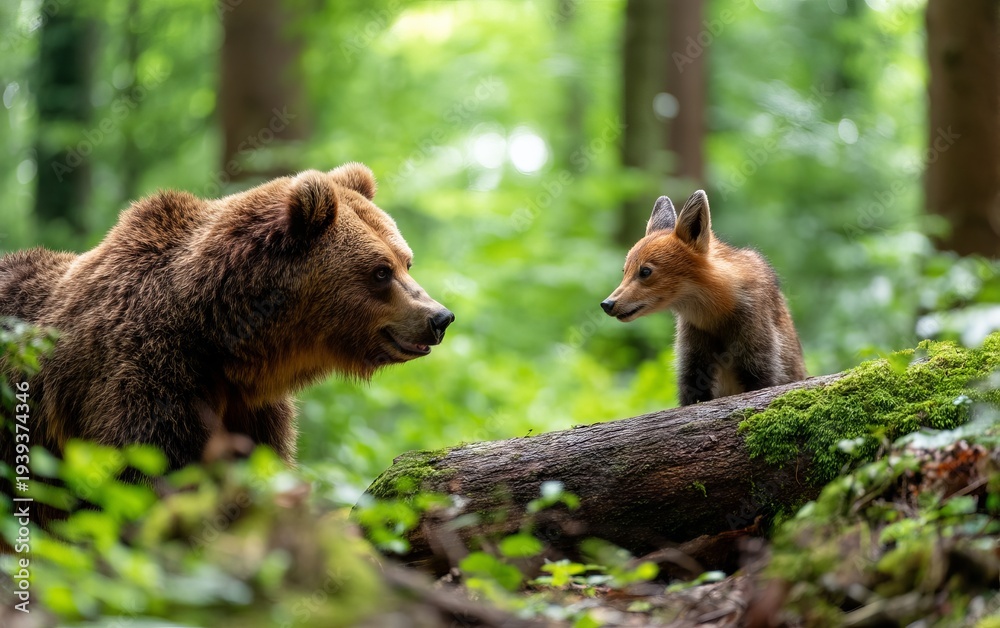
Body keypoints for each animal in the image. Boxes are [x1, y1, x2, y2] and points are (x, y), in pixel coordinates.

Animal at [601, 190, 806, 405]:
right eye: (624, 271)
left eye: (645, 271)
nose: (607, 304)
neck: (716, 320)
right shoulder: (692, 369)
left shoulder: (760, 364)